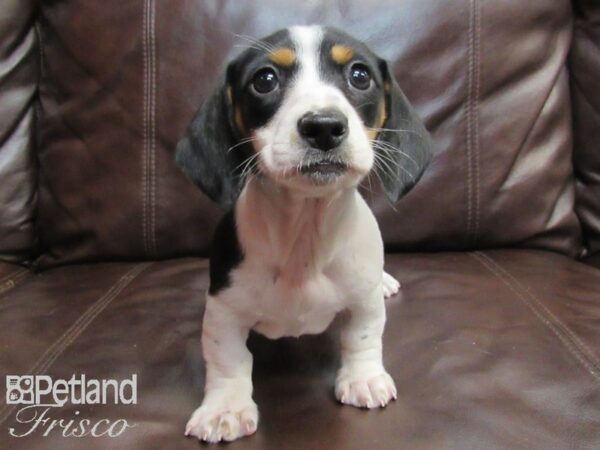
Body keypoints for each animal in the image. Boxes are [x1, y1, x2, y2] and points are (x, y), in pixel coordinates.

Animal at [176, 25, 434, 442]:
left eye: (360, 75)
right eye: (265, 80)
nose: (324, 126)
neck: (305, 237)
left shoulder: (363, 302)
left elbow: (362, 335)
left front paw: (363, 378)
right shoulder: (223, 311)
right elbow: (228, 358)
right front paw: (224, 408)